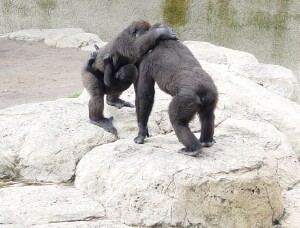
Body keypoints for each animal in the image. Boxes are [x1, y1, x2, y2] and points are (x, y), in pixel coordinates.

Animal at [134, 23, 218, 157]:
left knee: (178, 122)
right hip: (211, 94)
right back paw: (207, 141)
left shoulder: (146, 59)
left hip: (186, 99)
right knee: (207, 115)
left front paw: (141, 132)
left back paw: (194, 149)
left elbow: (145, 95)